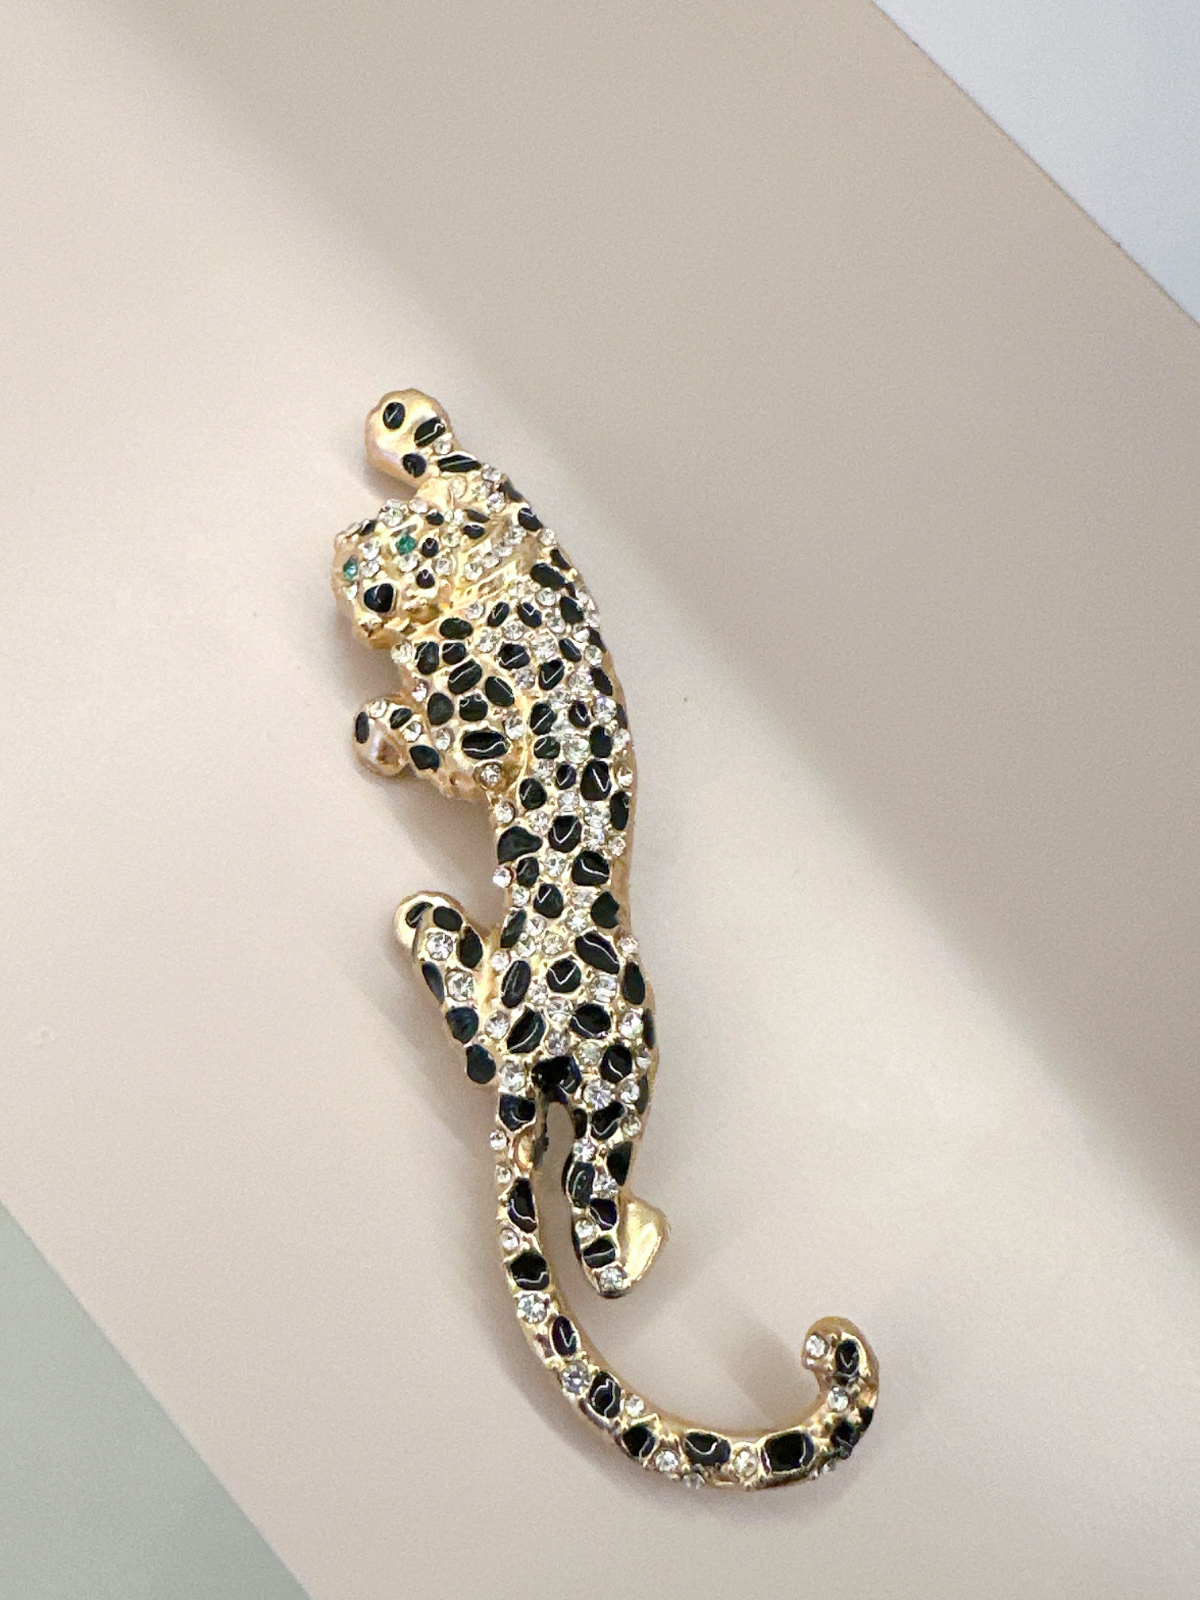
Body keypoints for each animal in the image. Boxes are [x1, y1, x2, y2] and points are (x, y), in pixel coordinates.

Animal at [331, 389, 878, 1488]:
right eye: (375, 537)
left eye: (396, 561)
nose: (348, 574)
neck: (483, 573)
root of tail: (522, 1043)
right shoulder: (506, 507)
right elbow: (460, 458)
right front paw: (405, 422)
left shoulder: (479, 718)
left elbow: (437, 743)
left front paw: (375, 728)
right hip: (549, 1042)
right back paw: (436, 931)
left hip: (623, 1058)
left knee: (595, 1221)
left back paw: (641, 1235)